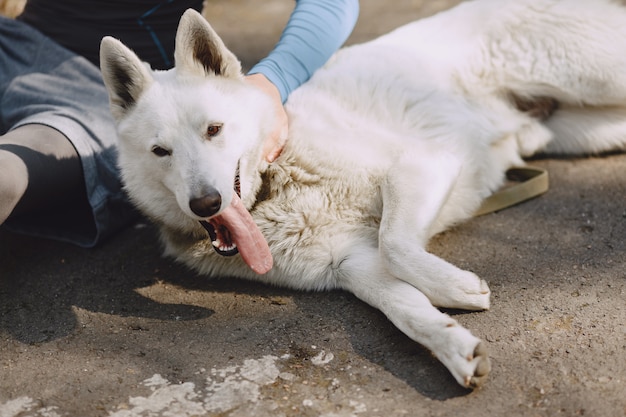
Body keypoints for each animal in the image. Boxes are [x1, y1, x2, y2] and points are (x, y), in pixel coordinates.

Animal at [100, 0, 624, 388]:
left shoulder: (419, 165)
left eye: (213, 129)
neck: (277, 180)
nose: (205, 204)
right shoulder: (354, 265)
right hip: (588, 130)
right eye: (161, 151)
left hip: (599, 79)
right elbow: (405, 310)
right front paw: (456, 348)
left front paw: (456, 287)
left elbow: (396, 244)